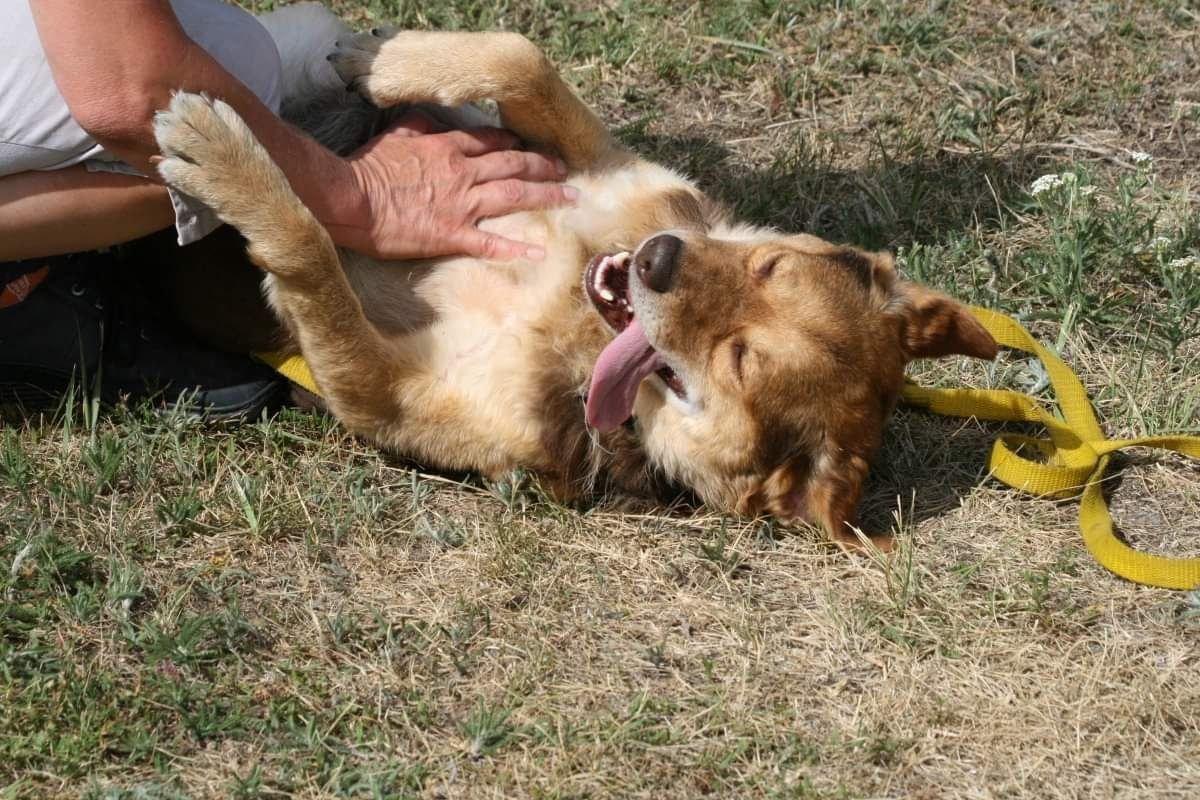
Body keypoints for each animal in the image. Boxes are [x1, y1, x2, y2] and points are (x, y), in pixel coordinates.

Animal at [152, 4, 993, 551]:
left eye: (739, 362)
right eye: (768, 265)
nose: (657, 259)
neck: (574, 318)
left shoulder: (381, 390)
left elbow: (308, 247)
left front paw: (219, 154)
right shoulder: (597, 165)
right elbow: (521, 58)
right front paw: (382, 59)